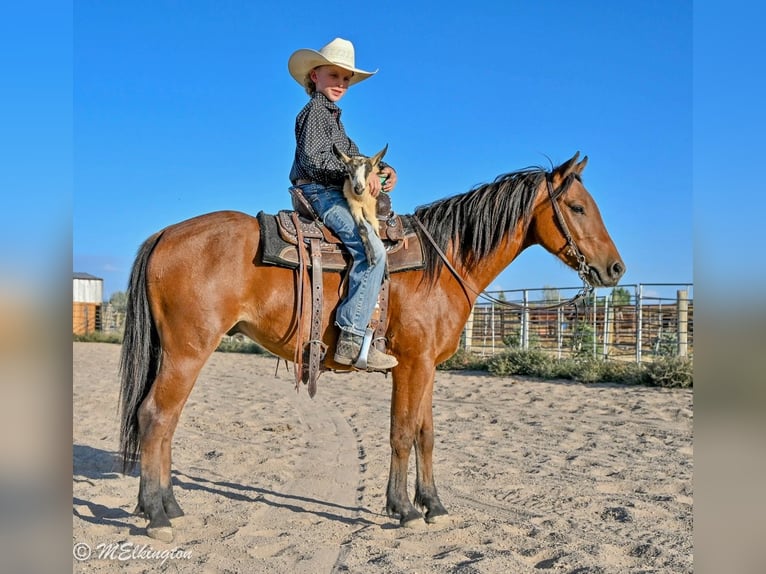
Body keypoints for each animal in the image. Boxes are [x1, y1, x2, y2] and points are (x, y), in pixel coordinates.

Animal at [118, 151, 624, 542]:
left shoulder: (428, 367)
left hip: (177, 353)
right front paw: (403, 509)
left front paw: (434, 505)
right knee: (156, 416)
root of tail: (166, 234)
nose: (615, 269)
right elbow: (401, 433)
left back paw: (169, 506)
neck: (443, 263)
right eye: (577, 207)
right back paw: (157, 515)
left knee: (166, 421)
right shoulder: (410, 364)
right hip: (188, 351)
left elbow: (425, 434)